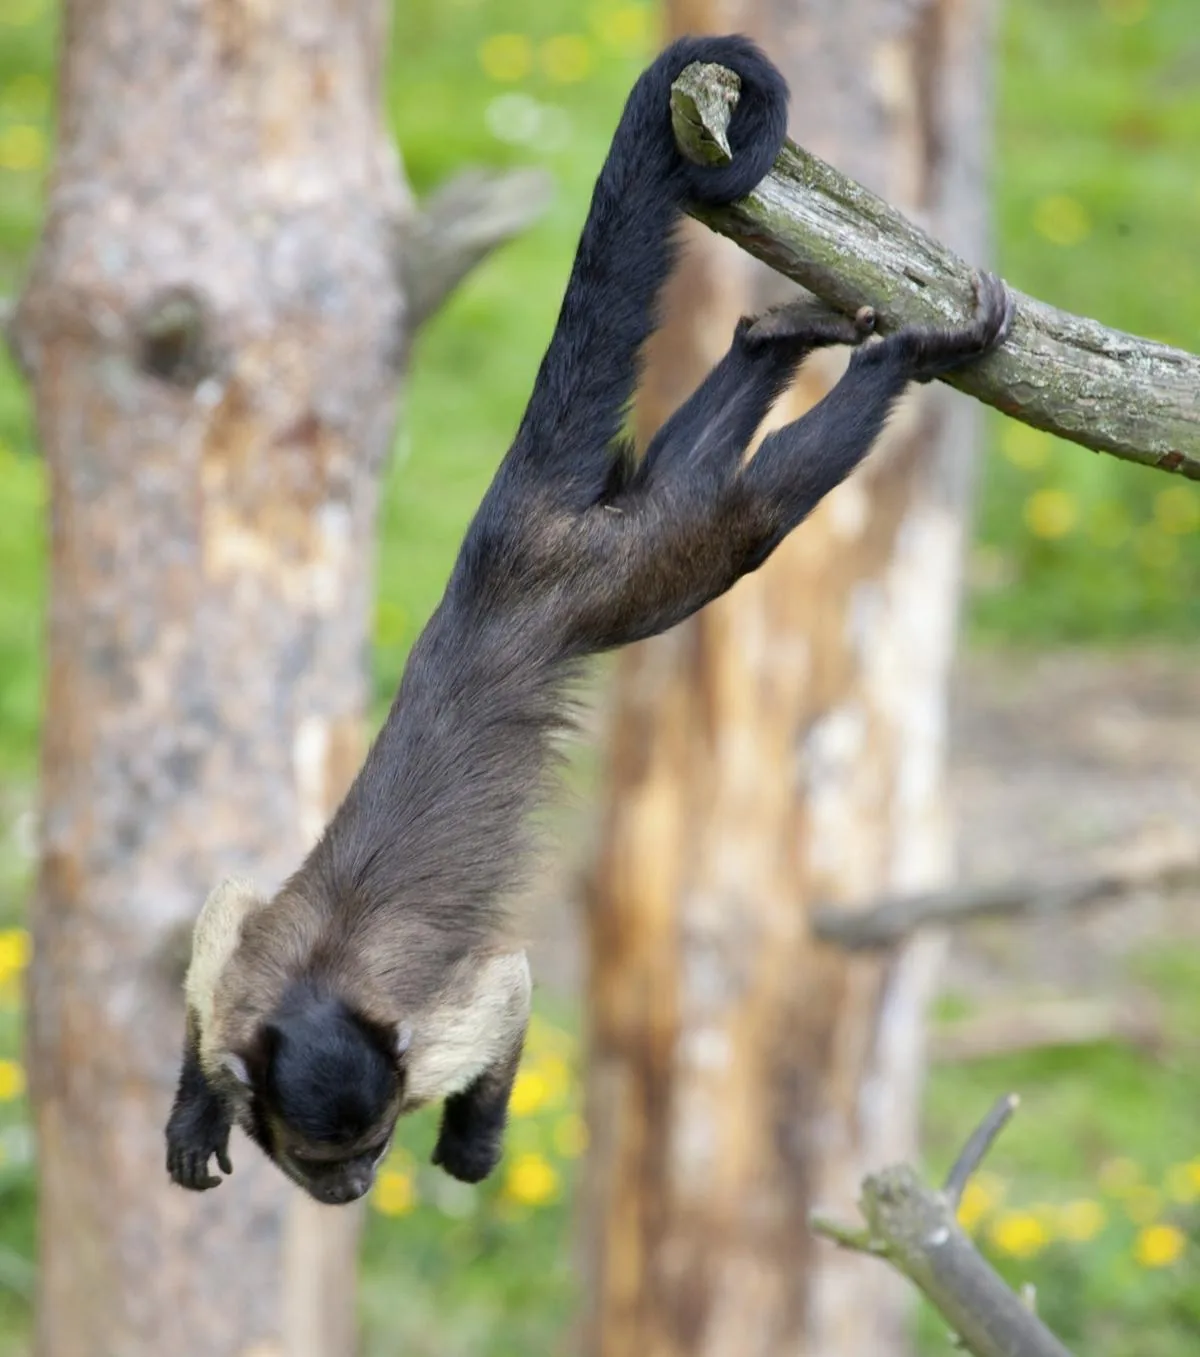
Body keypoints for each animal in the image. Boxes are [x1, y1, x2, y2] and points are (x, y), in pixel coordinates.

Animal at [165, 34, 1013, 1207]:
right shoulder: (245, 983)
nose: (353, 1187)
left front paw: (473, 1147)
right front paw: (196, 1109)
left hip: (612, 576)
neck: (316, 993)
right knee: (699, 478)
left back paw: (897, 363)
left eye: (369, 1144)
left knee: (747, 520)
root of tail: (506, 551)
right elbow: (223, 917)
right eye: (322, 1153)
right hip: (607, 543)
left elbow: (510, 988)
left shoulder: (431, 1037)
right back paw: (773, 340)